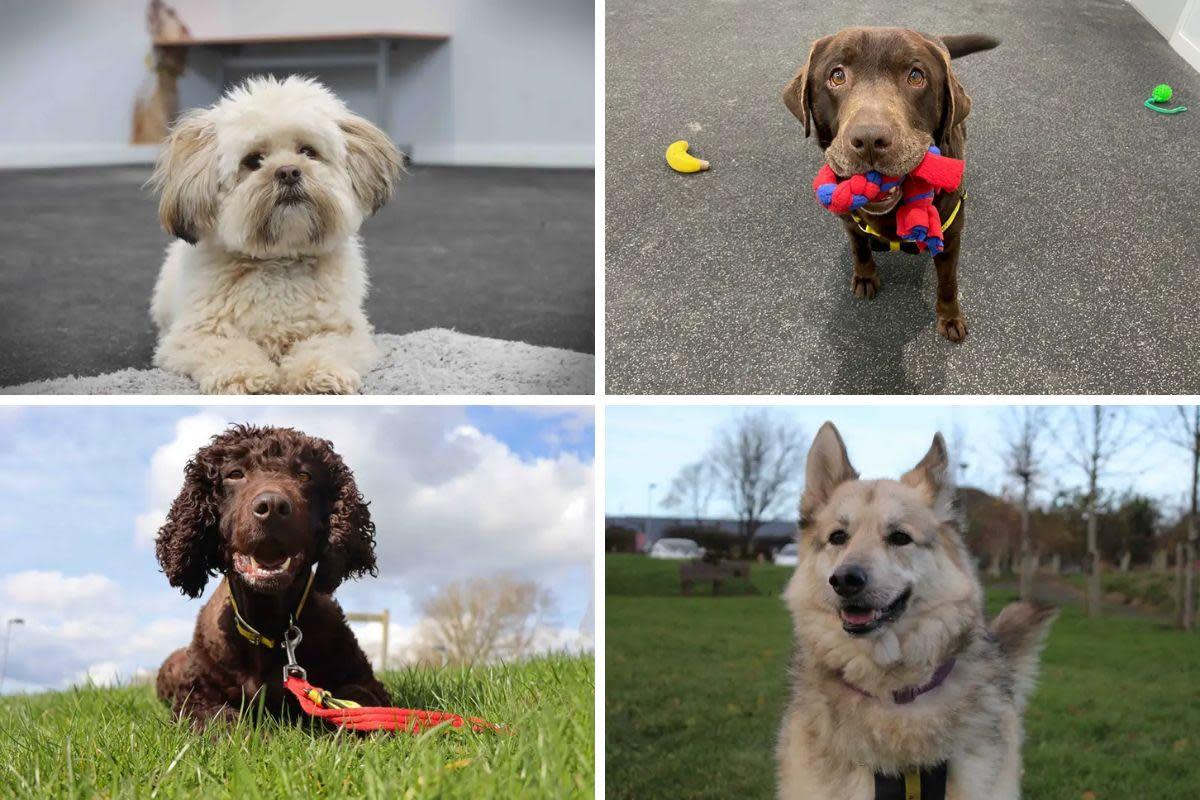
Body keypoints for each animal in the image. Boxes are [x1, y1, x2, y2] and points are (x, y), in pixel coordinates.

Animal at [150, 76, 400, 395]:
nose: (289, 171)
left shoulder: (346, 331)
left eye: (308, 152)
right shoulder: (194, 335)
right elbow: (226, 348)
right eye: (253, 160)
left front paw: (320, 373)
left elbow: (326, 345)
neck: (280, 259)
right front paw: (244, 375)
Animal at [154, 424, 388, 734]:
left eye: (305, 475)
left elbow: (359, 703)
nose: (272, 506)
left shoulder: (363, 680)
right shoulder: (194, 698)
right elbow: (222, 721)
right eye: (235, 474)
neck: (267, 621)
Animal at [782, 29, 998, 343]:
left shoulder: (951, 236)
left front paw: (950, 317)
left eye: (916, 76)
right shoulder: (849, 223)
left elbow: (948, 281)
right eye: (837, 75)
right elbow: (859, 248)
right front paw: (865, 276)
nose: (870, 139)